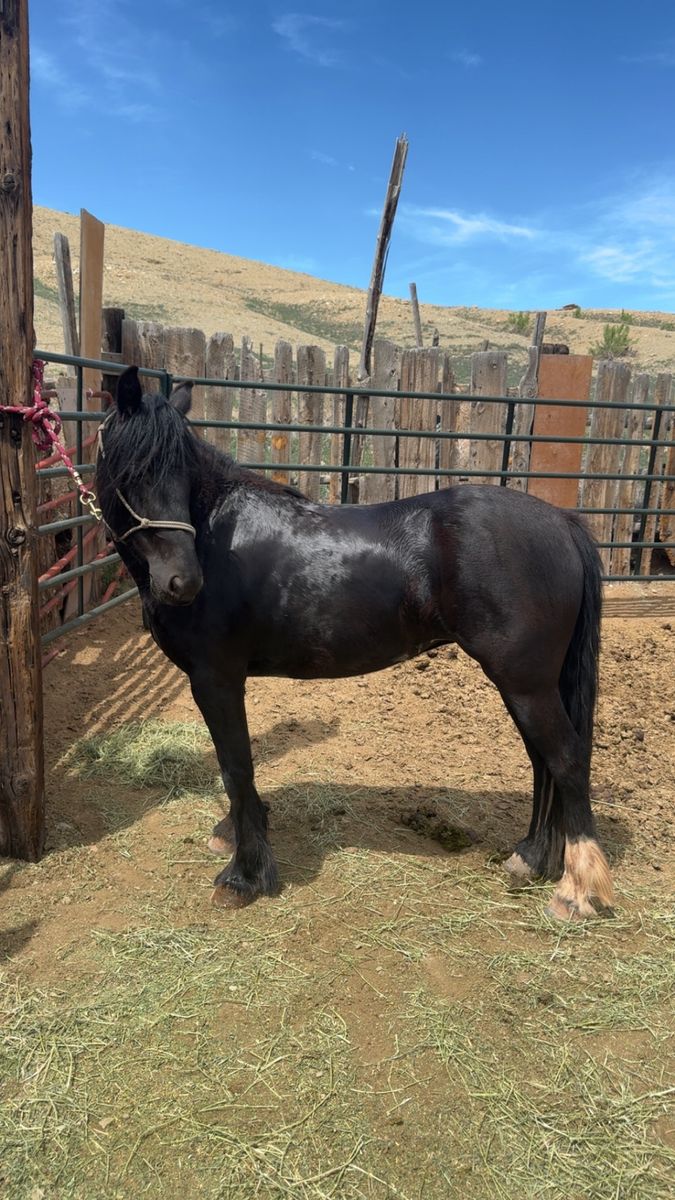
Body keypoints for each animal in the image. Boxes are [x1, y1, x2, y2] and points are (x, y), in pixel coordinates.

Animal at [95, 366, 614, 920]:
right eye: (132, 473)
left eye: (181, 472)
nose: (183, 582)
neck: (218, 538)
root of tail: (562, 522)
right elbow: (235, 768)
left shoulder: (216, 679)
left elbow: (236, 767)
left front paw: (244, 876)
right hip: (528, 685)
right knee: (543, 762)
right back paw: (531, 858)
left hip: (525, 682)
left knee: (566, 759)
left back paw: (577, 890)